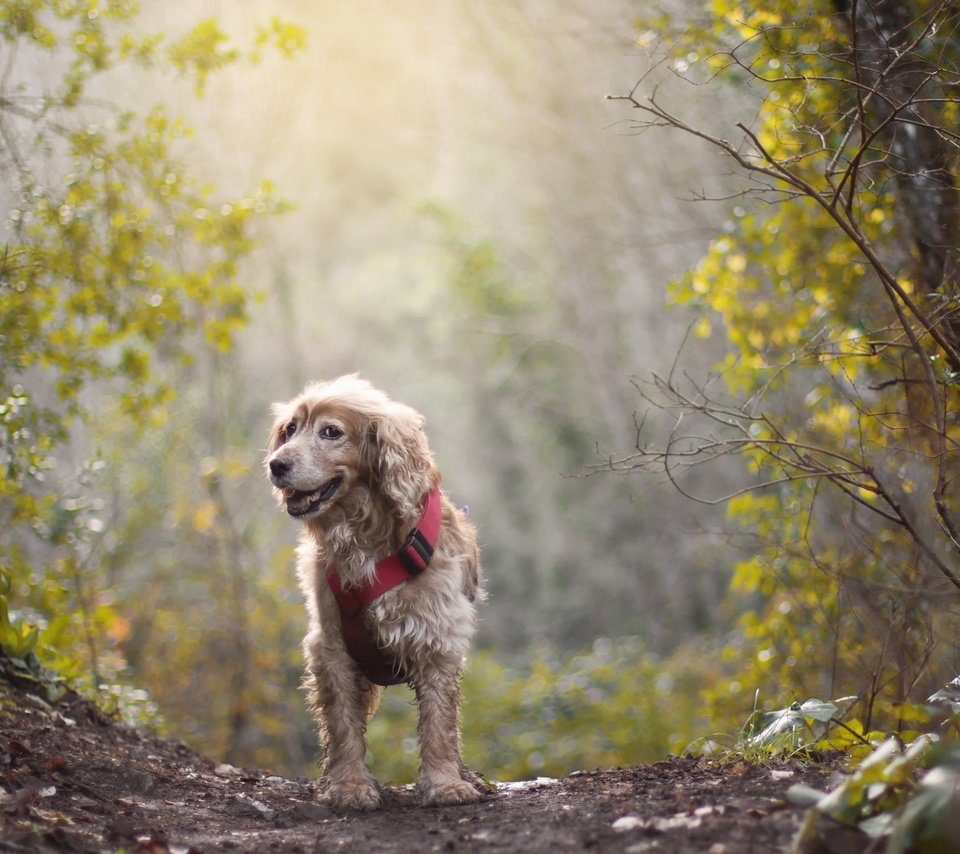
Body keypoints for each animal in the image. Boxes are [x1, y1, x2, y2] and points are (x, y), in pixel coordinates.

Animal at [262, 378, 488, 812]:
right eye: (291, 429)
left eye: (331, 432)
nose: (275, 465)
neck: (365, 535)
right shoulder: (331, 645)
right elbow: (343, 725)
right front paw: (349, 786)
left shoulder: (437, 638)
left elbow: (439, 724)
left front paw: (445, 783)